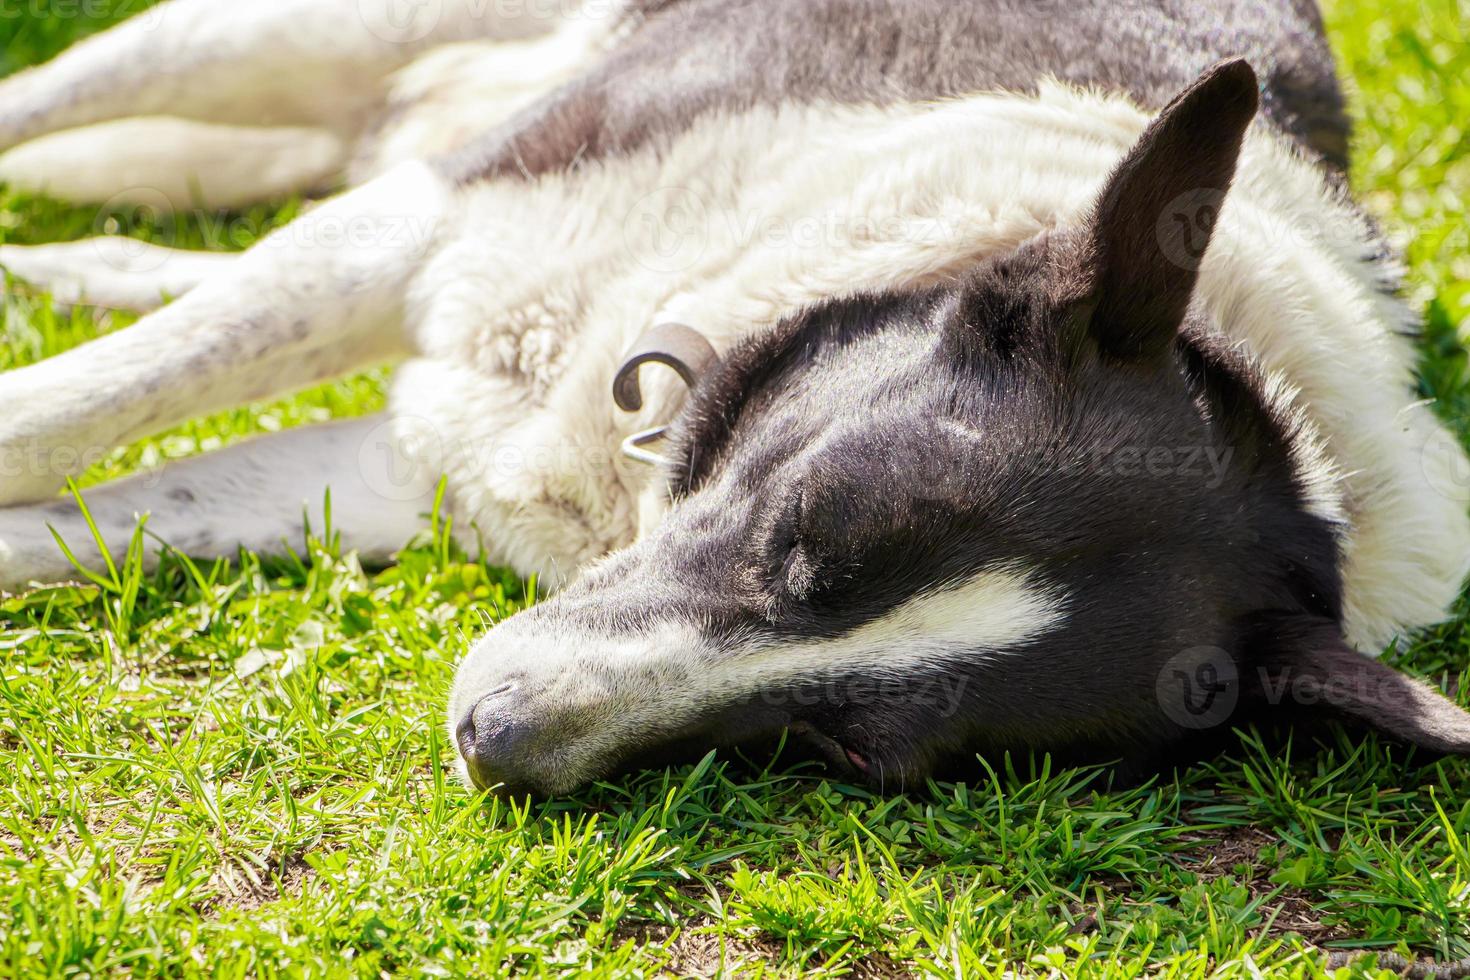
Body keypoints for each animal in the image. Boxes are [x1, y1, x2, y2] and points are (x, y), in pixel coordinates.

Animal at [2, 1, 1470, 799]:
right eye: (796, 524)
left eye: (846, 751)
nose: (488, 742)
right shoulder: (428, 222)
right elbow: (62, 414)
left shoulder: (400, 476)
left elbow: (106, 513)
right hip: (301, 41)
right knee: (58, 105)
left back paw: (92, 258)